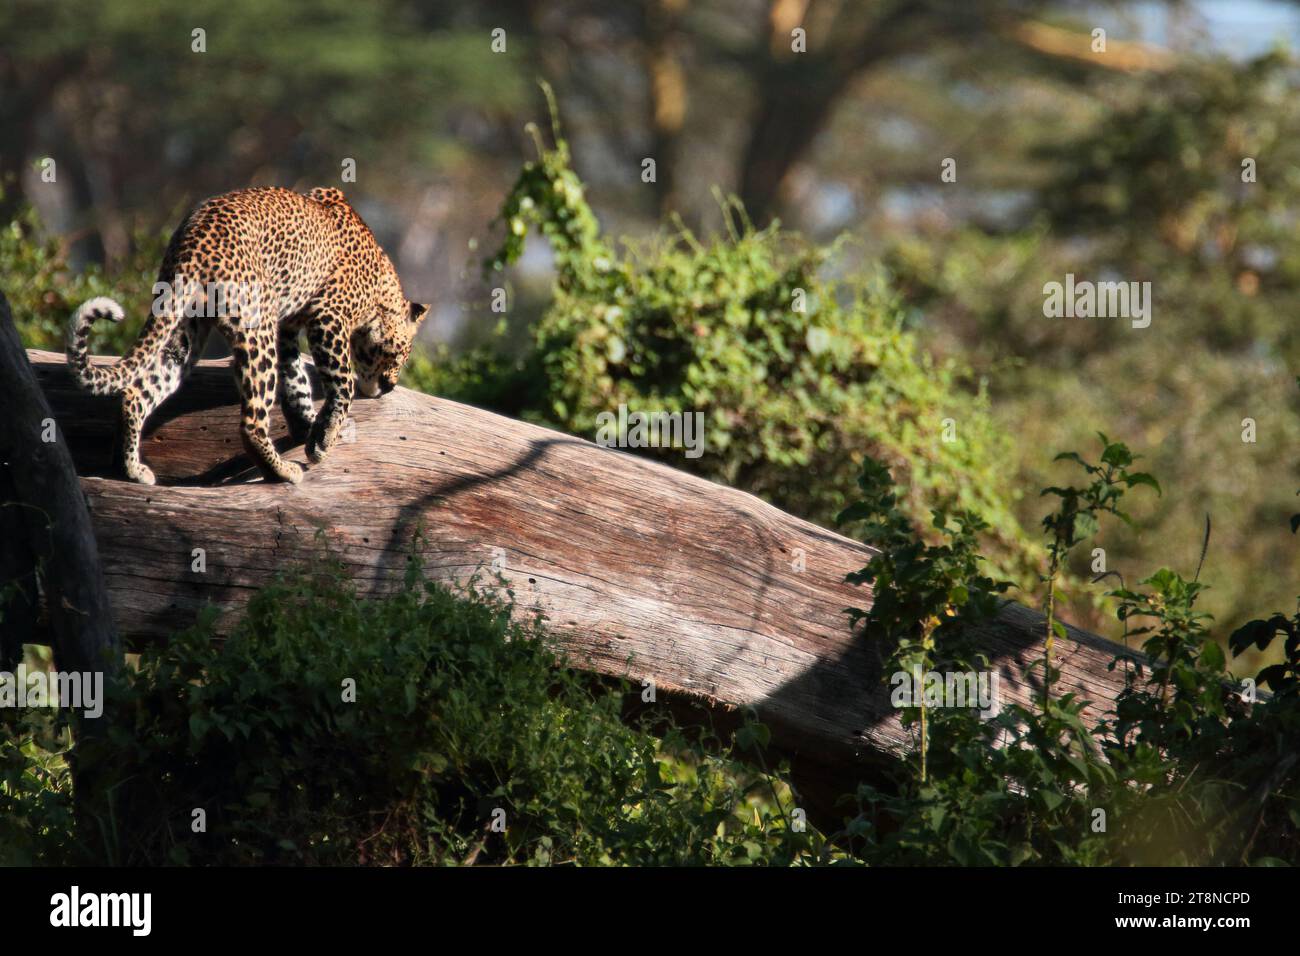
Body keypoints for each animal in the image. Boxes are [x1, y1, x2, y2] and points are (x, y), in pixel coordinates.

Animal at [65, 184, 426, 486]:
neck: (380, 288)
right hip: (256, 327)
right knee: (251, 420)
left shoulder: (287, 330)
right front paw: (323, 439)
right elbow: (342, 383)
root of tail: (194, 238)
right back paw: (281, 471)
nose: (389, 386)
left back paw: (130, 470)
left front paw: (307, 426)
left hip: (185, 330)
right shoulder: (328, 319)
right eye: (399, 354)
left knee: (137, 392)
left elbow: (296, 382)